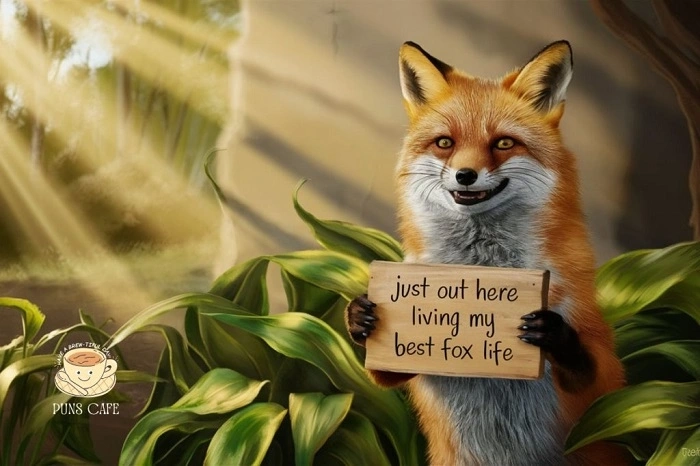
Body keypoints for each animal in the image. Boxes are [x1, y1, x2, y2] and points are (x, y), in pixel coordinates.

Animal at [346, 41, 628, 465]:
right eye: (445, 143)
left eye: (504, 143)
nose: (465, 175)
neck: (482, 265)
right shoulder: (402, 358)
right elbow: (385, 373)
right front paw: (360, 316)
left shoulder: (603, 373)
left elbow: (593, 367)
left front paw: (551, 332)